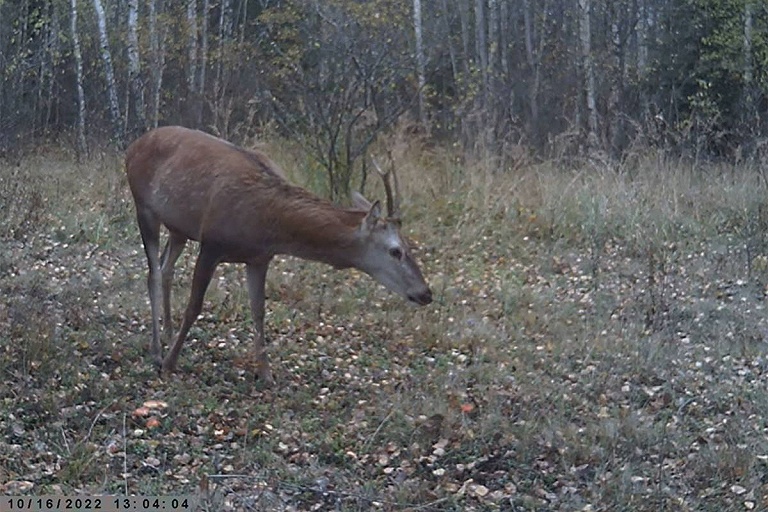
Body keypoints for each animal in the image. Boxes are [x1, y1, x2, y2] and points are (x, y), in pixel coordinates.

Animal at [126, 126, 432, 386]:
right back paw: (157, 349)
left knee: (166, 268)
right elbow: (194, 307)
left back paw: (168, 332)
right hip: (144, 207)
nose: (426, 293)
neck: (267, 222)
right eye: (396, 250)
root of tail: (135, 144)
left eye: (409, 245)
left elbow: (259, 311)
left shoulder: (260, 258)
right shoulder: (211, 243)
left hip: (179, 227)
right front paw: (170, 363)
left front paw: (266, 374)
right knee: (153, 274)